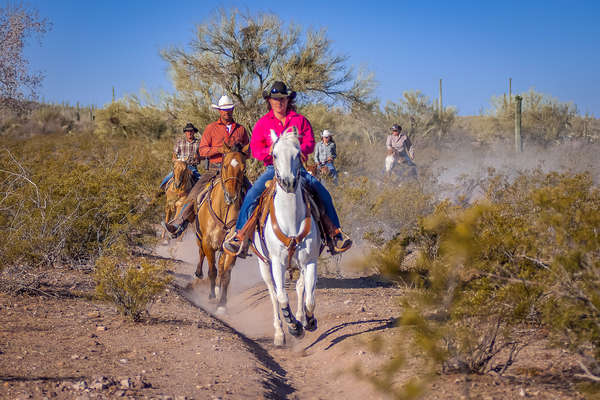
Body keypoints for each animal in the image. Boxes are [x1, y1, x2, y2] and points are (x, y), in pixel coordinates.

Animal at [192, 142, 248, 314]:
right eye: (224, 166)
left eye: (244, 169)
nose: (232, 196)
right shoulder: (208, 243)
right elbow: (212, 271)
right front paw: (211, 297)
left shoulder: (231, 248)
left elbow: (225, 275)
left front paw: (222, 304)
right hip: (199, 238)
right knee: (201, 254)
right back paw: (198, 274)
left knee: (222, 268)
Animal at [252, 128, 322, 346]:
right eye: (274, 155)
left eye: (298, 154)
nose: (289, 182)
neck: (291, 218)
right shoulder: (277, 263)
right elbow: (282, 297)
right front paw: (293, 327)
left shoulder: (309, 262)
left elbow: (310, 298)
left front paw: (308, 321)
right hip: (264, 265)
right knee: (273, 295)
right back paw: (280, 333)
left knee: (300, 288)